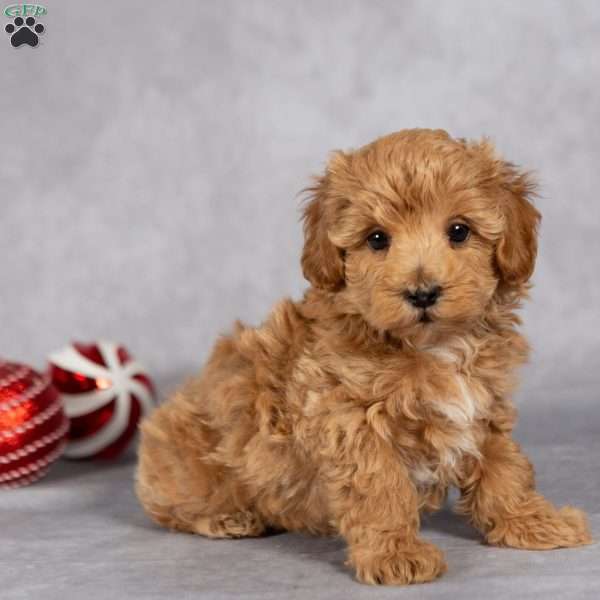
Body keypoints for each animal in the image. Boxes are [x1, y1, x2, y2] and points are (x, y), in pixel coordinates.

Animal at [136, 129, 592, 584]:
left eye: (460, 231)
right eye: (376, 239)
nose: (422, 292)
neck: (431, 347)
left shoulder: (484, 411)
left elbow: (506, 471)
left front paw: (534, 522)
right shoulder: (352, 422)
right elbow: (381, 490)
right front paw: (395, 554)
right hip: (187, 462)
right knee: (171, 507)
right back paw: (227, 518)